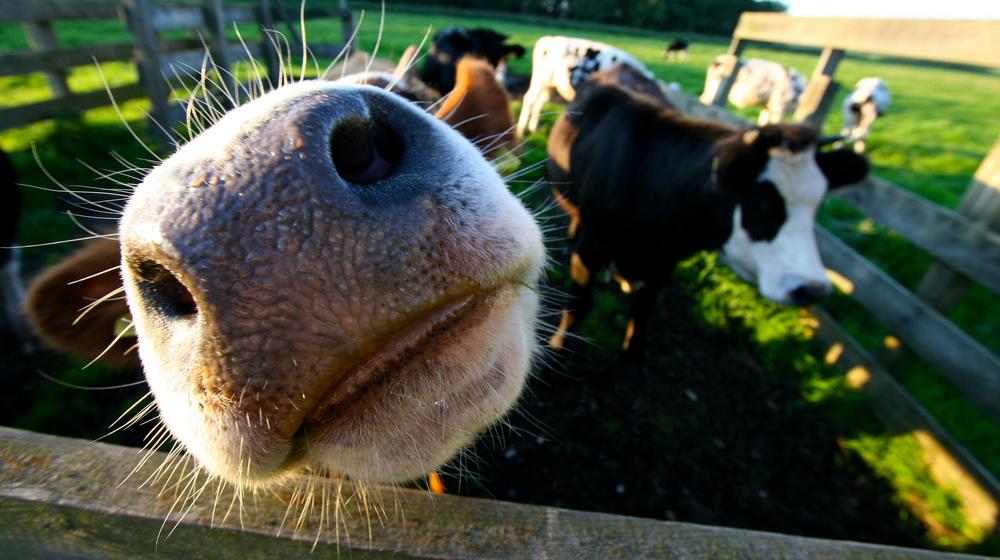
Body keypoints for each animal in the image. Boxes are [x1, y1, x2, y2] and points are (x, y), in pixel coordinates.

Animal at [515, 35, 654, 138]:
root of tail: (548, 39)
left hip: (549, 85)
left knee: (540, 102)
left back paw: (533, 129)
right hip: (540, 79)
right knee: (529, 99)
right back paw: (520, 131)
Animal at [547, 69, 869, 363]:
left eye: (817, 204)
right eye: (762, 201)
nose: (812, 289)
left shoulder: (663, 264)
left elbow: (641, 312)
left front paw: (632, 357)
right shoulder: (592, 249)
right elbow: (579, 304)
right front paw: (558, 347)